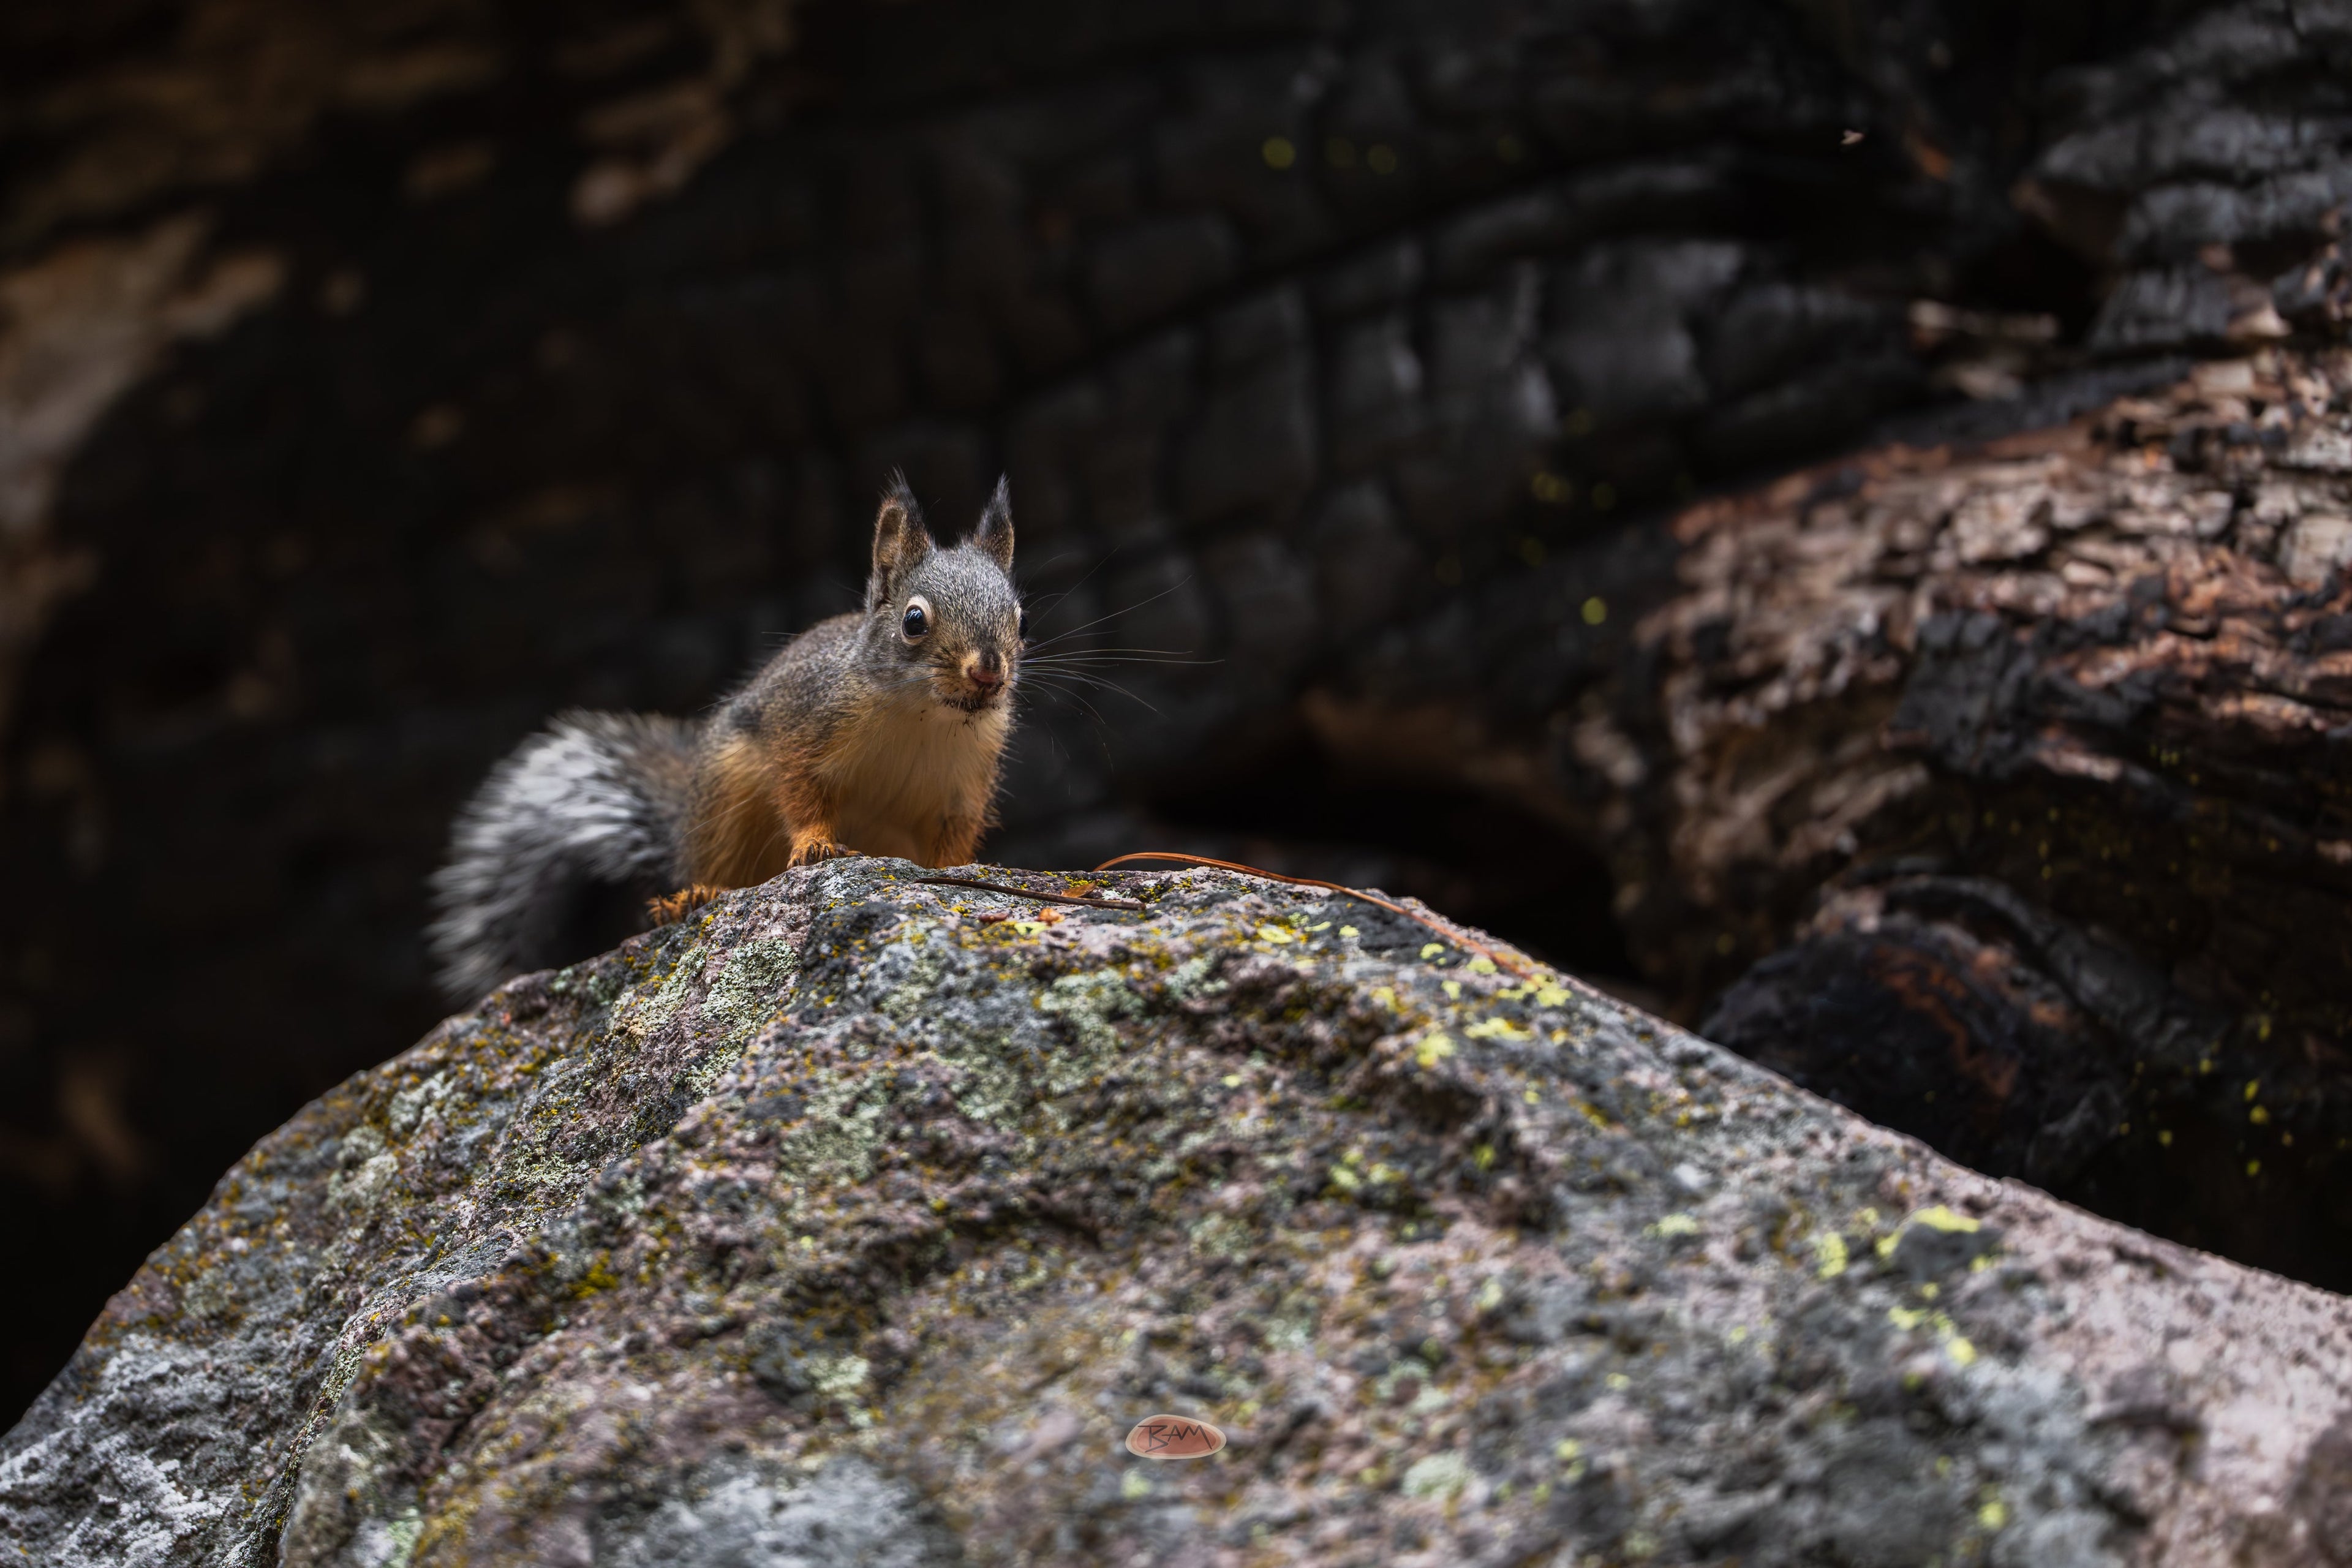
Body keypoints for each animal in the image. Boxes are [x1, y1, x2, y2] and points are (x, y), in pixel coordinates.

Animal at [428, 473, 1024, 1001]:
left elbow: (954, 837)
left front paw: (953, 874)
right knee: (718, 867)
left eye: (1019, 618)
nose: (988, 672)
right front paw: (815, 843)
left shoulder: (964, 787)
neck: (924, 718)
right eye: (914, 621)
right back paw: (693, 897)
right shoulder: (802, 728)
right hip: (726, 797)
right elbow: (799, 792)